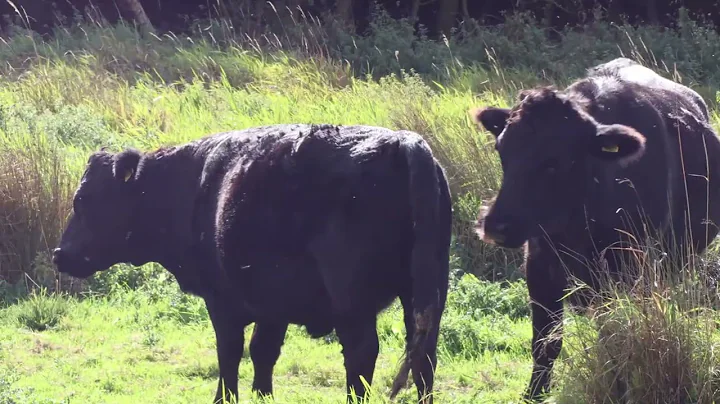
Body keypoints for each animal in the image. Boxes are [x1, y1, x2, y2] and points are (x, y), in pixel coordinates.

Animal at [53, 123, 452, 404]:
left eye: (84, 200)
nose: (60, 254)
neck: (189, 186)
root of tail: (401, 142)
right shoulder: (272, 304)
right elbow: (262, 353)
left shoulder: (222, 301)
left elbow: (229, 354)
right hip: (426, 293)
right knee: (424, 358)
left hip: (351, 300)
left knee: (361, 354)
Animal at [470, 56, 720, 400]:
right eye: (502, 150)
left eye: (555, 161)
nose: (497, 226)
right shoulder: (538, 265)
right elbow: (545, 341)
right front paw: (534, 392)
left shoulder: (629, 270)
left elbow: (617, 335)